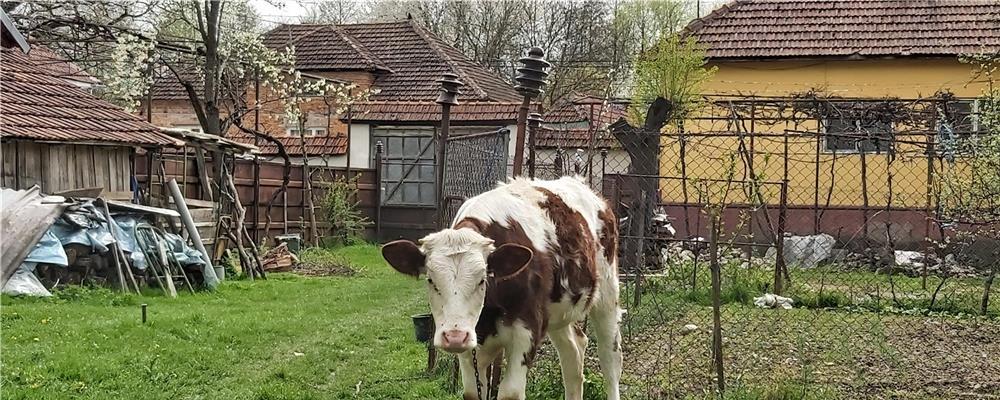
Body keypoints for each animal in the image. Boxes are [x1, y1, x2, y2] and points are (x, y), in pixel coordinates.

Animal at [382, 177, 623, 400]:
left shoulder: (527, 331)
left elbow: (510, 393)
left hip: (607, 294)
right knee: (573, 351)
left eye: (482, 280)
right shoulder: (471, 347)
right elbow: (472, 392)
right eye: (431, 280)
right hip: (557, 311)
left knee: (610, 357)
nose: (455, 336)